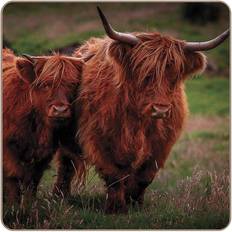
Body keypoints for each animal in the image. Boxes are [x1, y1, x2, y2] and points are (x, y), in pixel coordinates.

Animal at [2, 49, 84, 206]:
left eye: (72, 84)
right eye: (45, 85)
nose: (60, 110)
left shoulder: (43, 155)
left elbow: (32, 181)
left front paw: (29, 206)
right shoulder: (8, 151)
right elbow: (13, 178)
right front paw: (13, 206)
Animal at [71, 7, 229, 214]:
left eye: (175, 76)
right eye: (144, 73)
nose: (160, 109)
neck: (137, 120)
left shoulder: (161, 145)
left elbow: (144, 177)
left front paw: (135, 204)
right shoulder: (98, 139)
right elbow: (115, 176)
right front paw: (116, 208)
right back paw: (60, 196)